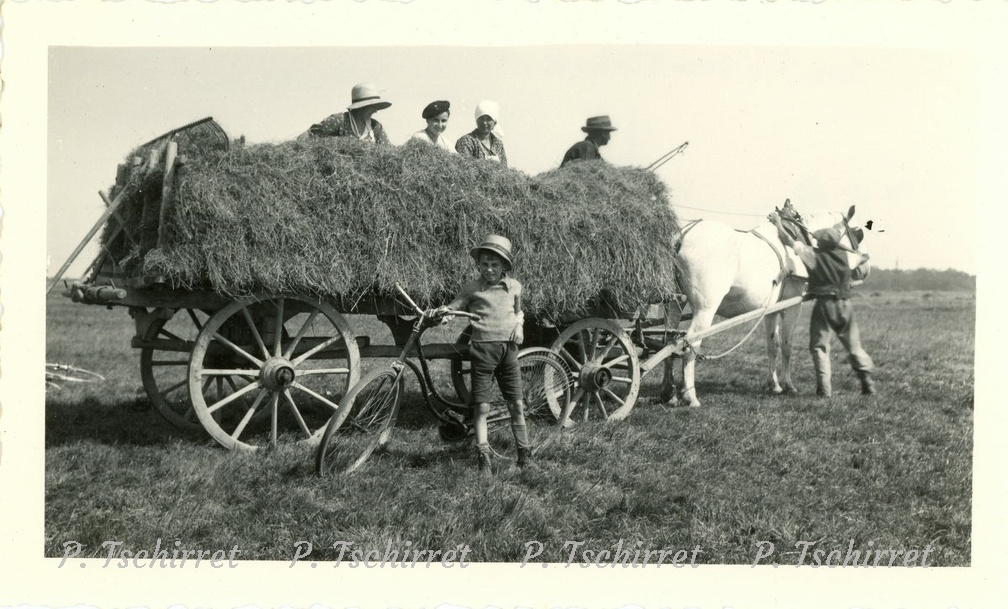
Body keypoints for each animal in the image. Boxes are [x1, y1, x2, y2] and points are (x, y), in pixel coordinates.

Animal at [665, 200, 870, 409]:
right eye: (857, 234)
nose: (865, 268)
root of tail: (682, 235)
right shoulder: (792, 306)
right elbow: (787, 345)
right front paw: (789, 385)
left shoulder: (771, 310)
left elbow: (773, 345)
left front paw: (774, 385)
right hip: (705, 308)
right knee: (690, 344)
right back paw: (690, 396)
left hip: (675, 302)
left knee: (668, 340)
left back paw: (670, 393)